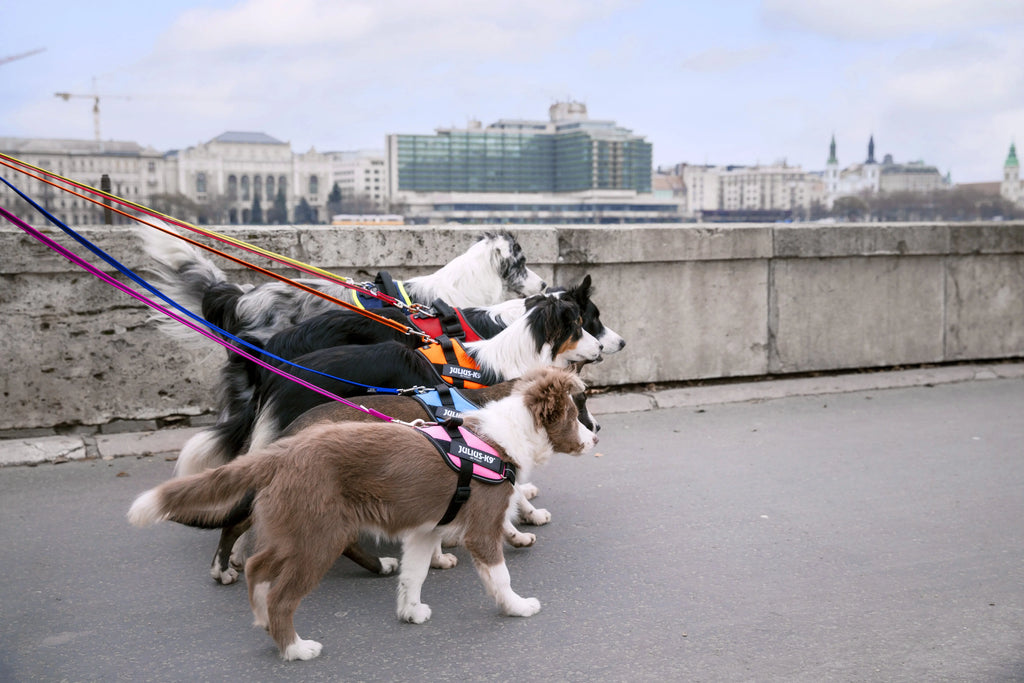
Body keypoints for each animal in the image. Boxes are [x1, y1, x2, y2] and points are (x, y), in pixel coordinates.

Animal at [132, 368, 602, 663]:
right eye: (577, 412)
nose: (596, 436)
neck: (499, 435)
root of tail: (284, 450)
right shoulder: (482, 527)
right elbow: (499, 571)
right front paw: (517, 605)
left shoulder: (424, 530)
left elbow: (413, 574)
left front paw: (411, 612)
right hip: (318, 537)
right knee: (280, 589)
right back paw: (294, 647)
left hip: (296, 529)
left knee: (257, 565)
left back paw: (261, 612)